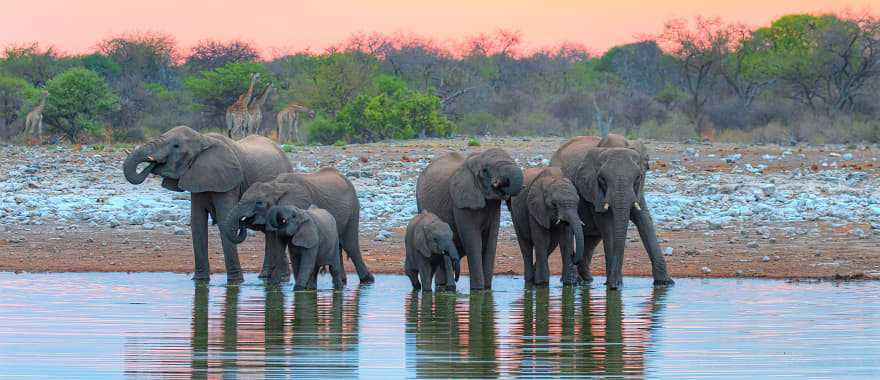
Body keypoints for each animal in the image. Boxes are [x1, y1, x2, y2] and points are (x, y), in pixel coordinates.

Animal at [122, 125, 292, 282]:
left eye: (176, 146)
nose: (152, 164)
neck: (203, 140)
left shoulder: (229, 181)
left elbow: (224, 220)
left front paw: (235, 282)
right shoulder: (197, 176)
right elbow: (197, 222)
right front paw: (199, 281)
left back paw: (278, 278)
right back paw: (270, 277)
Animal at [220, 168, 374, 284]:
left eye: (259, 203)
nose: (243, 221)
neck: (276, 186)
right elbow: (276, 244)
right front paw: (272, 286)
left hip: (353, 209)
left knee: (350, 245)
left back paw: (367, 280)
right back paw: (343, 281)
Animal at [418, 147, 524, 290]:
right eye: (485, 170)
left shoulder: (493, 205)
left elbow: (490, 242)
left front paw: (487, 288)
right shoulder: (461, 202)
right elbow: (473, 241)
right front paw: (478, 289)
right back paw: (447, 287)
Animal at [552, 136, 672, 288]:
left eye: (638, 177)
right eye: (602, 179)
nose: (615, 284)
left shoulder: (638, 191)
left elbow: (645, 222)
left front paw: (665, 283)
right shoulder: (594, 190)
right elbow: (608, 226)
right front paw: (613, 285)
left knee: (592, 238)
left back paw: (586, 279)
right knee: (569, 234)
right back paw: (573, 281)